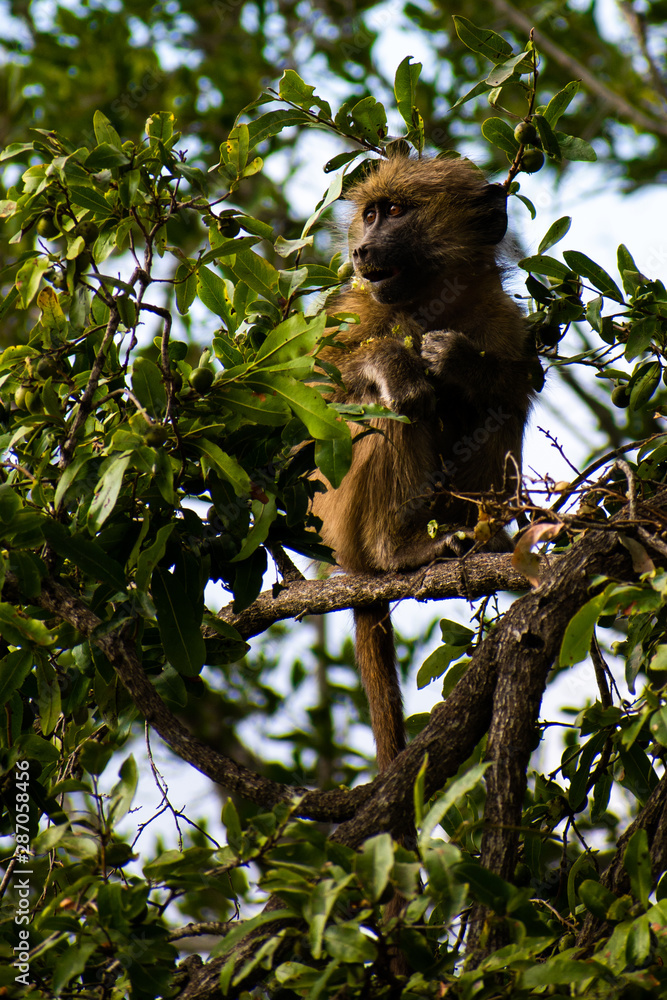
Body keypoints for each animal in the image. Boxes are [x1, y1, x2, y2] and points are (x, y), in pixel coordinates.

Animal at [312, 154, 540, 774]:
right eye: (371, 213)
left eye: (395, 211)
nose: (363, 249)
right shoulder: (345, 313)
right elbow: (304, 395)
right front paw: (397, 362)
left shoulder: (503, 318)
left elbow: (518, 384)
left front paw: (460, 361)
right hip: (335, 515)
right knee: (386, 410)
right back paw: (399, 548)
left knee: (498, 411)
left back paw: (480, 537)